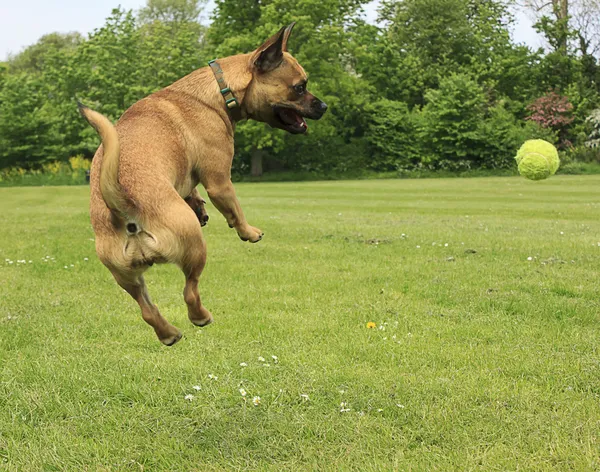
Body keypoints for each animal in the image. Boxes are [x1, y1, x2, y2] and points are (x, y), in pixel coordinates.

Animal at [79, 24, 328, 344]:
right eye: (300, 87)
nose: (324, 106)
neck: (220, 91)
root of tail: (125, 208)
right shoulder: (220, 180)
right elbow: (235, 209)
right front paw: (249, 232)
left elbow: (193, 189)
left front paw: (199, 204)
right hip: (194, 248)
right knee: (189, 291)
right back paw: (200, 317)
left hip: (126, 277)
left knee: (148, 309)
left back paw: (169, 334)